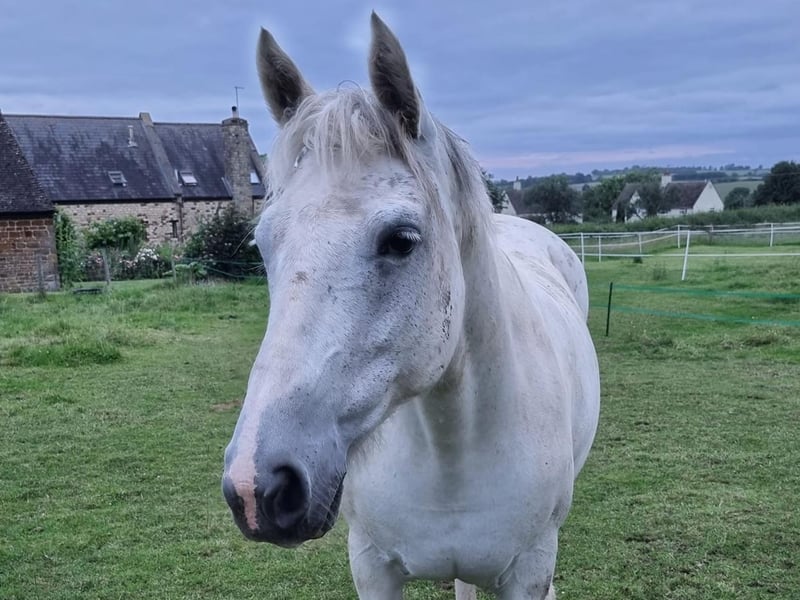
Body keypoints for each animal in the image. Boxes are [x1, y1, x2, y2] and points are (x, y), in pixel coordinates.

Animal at [222, 13, 600, 600]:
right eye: (263, 244)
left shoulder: (529, 570)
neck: (452, 447)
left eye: (401, 239)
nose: (256, 486)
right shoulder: (371, 567)